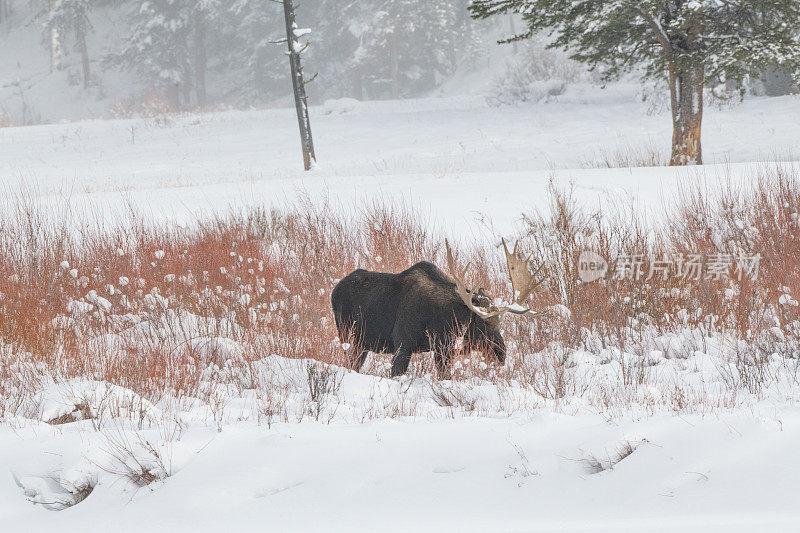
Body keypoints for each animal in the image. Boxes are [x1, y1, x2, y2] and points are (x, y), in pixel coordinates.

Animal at [330, 239, 544, 376]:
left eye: (499, 322)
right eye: (482, 324)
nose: (501, 354)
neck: (442, 321)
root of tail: (335, 290)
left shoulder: (444, 350)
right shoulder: (402, 344)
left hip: (361, 344)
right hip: (346, 335)